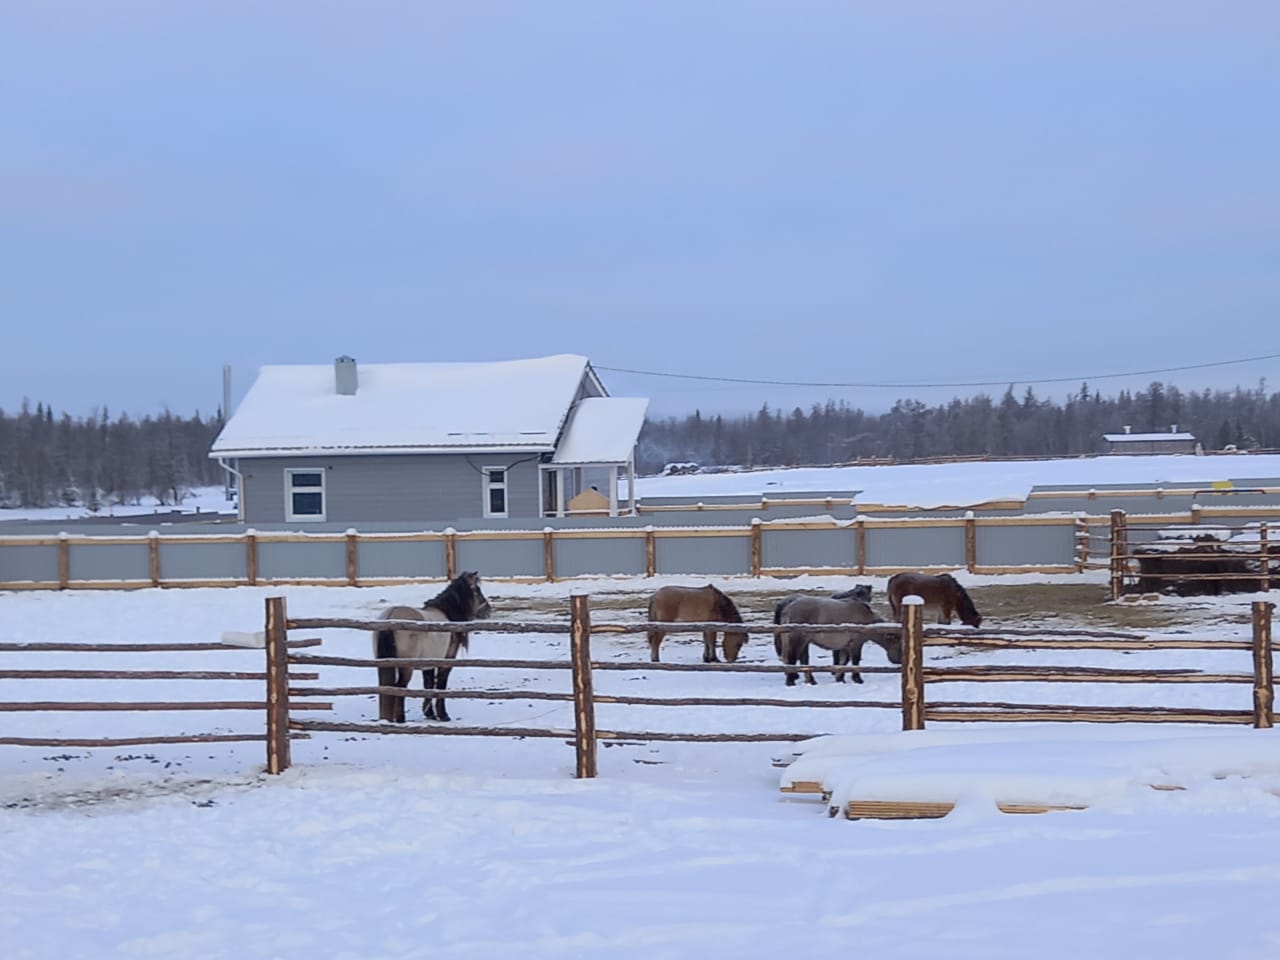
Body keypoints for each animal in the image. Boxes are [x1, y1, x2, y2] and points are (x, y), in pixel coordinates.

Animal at [373, 570, 491, 721]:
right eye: (476, 590)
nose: (488, 610)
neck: (448, 615)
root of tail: (391, 616)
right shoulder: (446, 660)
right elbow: (440, 684)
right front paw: (443, 715)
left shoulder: (428, 662)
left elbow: (428, 685)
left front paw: (429, 713)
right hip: (406, 666)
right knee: (400, 687)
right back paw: (401, 719)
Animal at [768, 599, 901, 686]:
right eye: (899, 645)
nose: (900, 662)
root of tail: (787, 608)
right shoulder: (856, 643)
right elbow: (855, 661)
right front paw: (857, 679)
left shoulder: (845, 645)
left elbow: (844, 662)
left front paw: (840, 678)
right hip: (798, 639)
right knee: (792, 659)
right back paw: (791, 681)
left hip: (804, 641)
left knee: (803, 660)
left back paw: (810, 680)